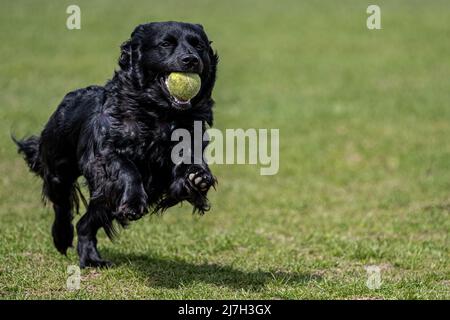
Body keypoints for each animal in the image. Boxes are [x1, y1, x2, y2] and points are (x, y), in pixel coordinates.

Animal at [13, 21, 217, 268]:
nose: (191, 59)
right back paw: (61, 237)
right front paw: (133, 203)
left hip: (105, 201)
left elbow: (189, 164)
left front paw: (198, 178)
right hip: (59, 171)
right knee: (63, 207)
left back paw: (91, 259)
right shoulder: (105, 154)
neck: (159, 113)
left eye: (199, 45)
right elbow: (128, 169)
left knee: (85, 224)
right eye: (166, 43)